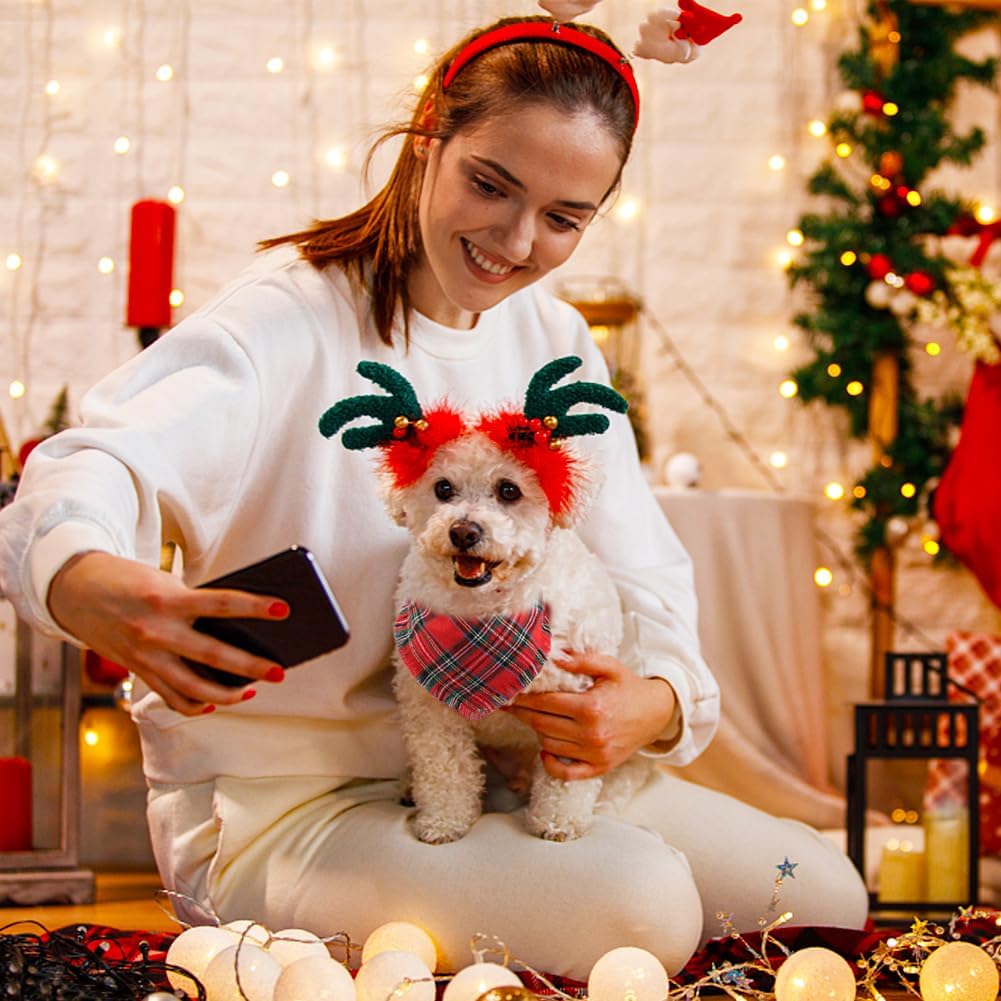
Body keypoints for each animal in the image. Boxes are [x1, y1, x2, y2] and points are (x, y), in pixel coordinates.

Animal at [320, 356, 648, 840]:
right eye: (442, 489)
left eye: (509, 490)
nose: (464, 531)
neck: (484, 612)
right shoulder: (429, 707)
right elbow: (446, 769)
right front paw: (443, 821)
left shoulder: (577, 712)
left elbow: (566, 777)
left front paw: (560, 821)